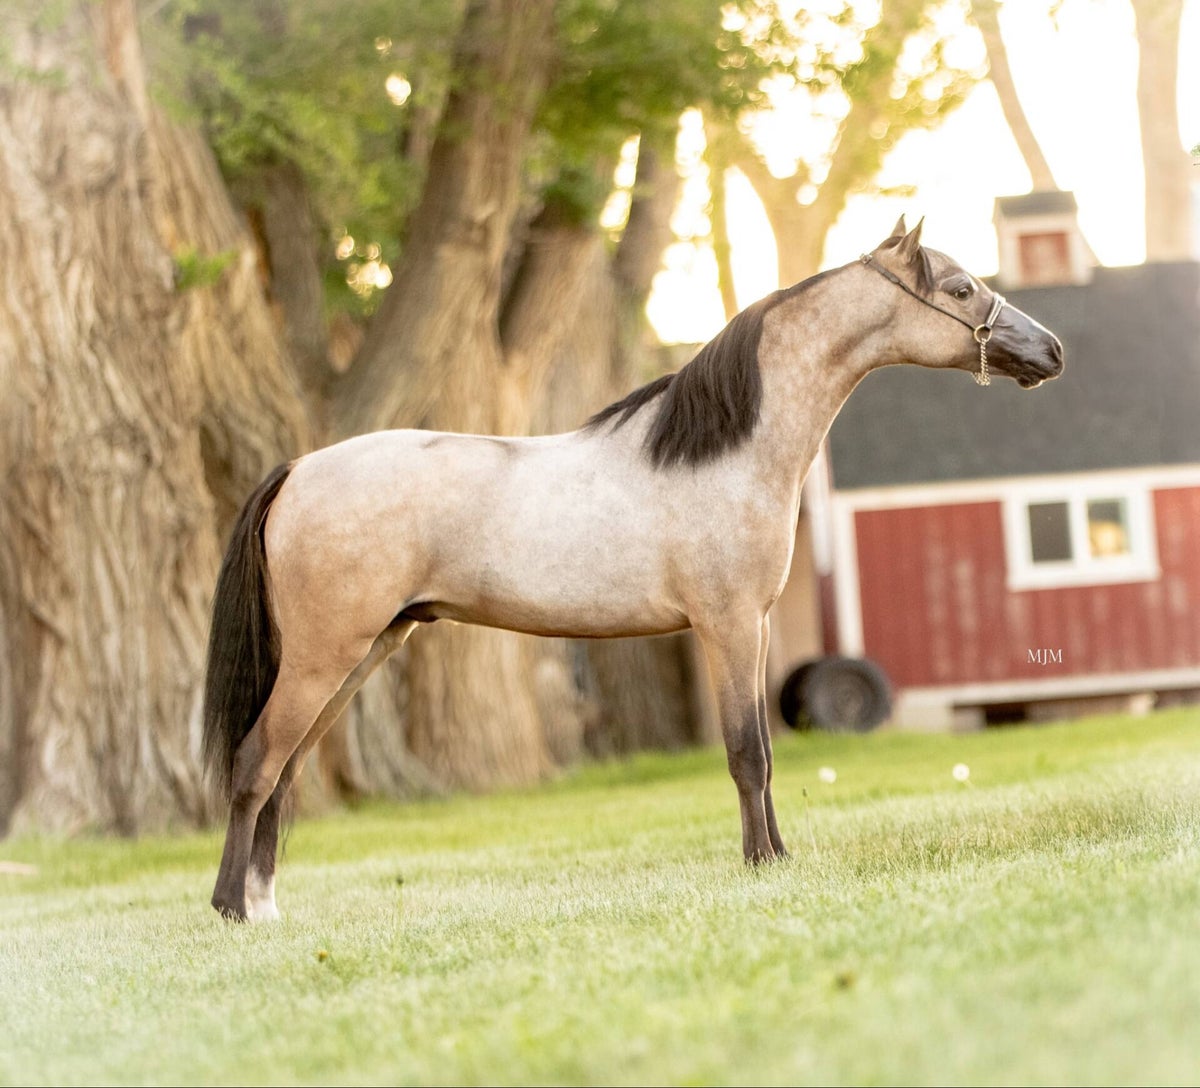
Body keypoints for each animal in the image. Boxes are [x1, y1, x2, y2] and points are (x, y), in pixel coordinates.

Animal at [203, 217, 1063, 921]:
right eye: (960, 287)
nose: (1051, 350)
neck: (727, 451)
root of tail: (298, 470)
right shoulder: (724, 627)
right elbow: (746, 752)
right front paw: (760, 865)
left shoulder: (751, 628)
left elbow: (765, 750)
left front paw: (778, 857)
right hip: (324, 656)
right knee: (255, 762)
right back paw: (233, 908)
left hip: (363, 652)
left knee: (285, 769)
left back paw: (264, 902)